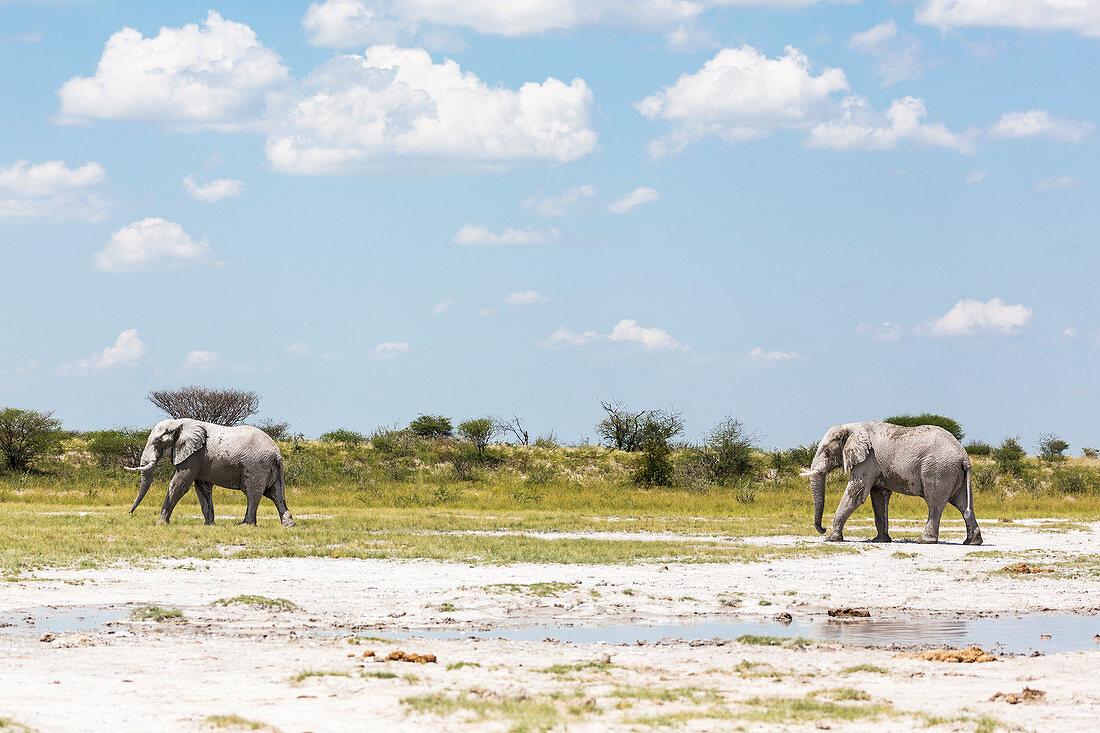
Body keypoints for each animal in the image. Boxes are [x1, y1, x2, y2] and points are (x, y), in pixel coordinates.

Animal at [124, 416, 294, 526]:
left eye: (158, 441)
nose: (130, 514)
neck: (178, 423)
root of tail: (277, 452)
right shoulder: (200, 459)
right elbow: (202, 488)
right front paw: (208, 525)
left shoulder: (194, 455)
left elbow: (179, 484)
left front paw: (160, 523)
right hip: (269, 468)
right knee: (275, 494)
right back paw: (289, 525)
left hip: (256, 465)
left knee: (253, 493)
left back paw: (245, 525)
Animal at [800, 422, 981, 541]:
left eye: (826, 450)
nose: (822, 529)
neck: (853, 426)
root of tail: (964, 456)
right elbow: (879, 497)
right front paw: (881, 540)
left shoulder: (868, 460)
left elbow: (856, 493)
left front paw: (832, 538)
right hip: (953, 473)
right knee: (962, 503)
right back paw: (972, 542)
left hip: (938, 470)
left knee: (935, 503)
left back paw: (924, 540)